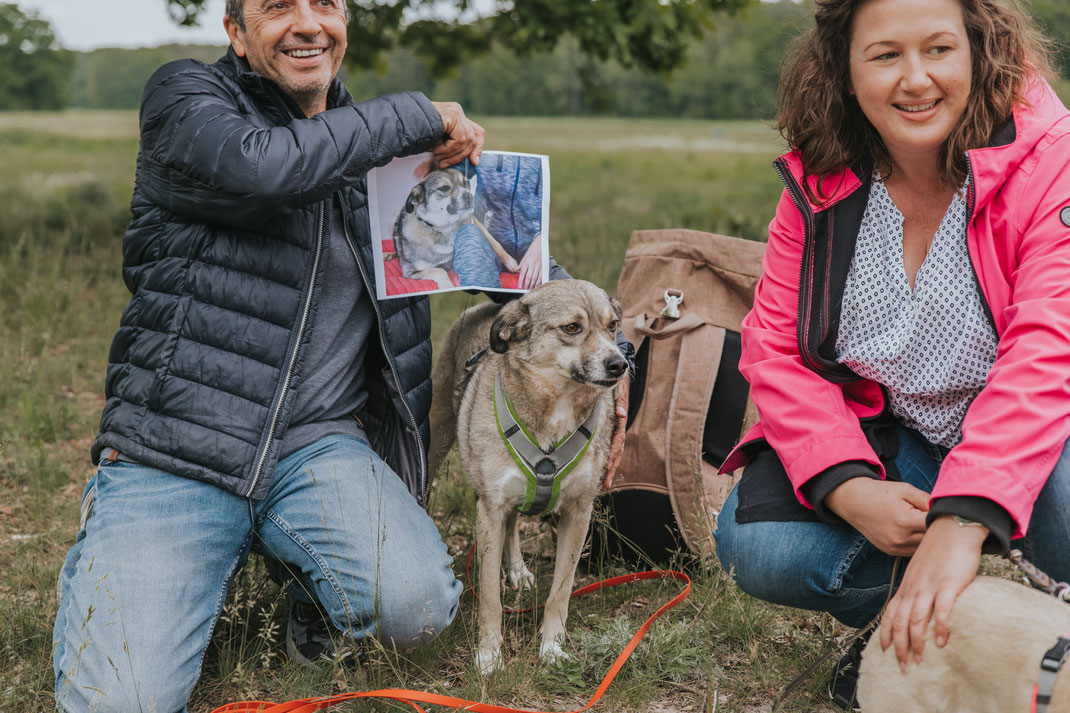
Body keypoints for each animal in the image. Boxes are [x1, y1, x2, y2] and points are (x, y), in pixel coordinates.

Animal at [425, 278, 624, 672]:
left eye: (613, 326)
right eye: (572, 327)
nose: (620, 364)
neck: (557, 406)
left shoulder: (578, 512)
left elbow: (561, 592)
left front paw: (551, 647)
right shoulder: (490, 510)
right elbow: (490, 597)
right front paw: (489, 655)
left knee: (516, 523)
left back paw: (517, 570)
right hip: (437, 435)